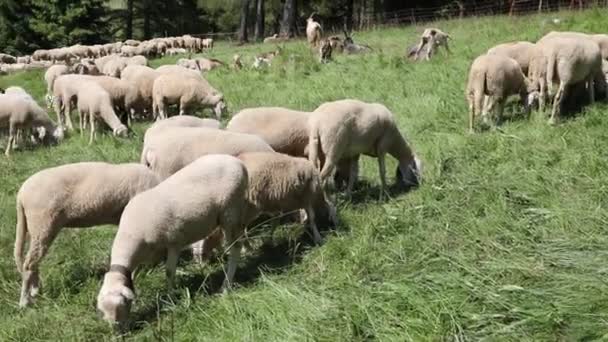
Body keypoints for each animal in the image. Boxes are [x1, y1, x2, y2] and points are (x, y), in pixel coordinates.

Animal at [96, 154, 248, 328]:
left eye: (122, 306)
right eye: (102, 311)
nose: (119, 331)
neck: (131, 236)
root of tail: (239, 163)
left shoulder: (174, 242)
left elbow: (169, 272)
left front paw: (170, 298)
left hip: (230, 212)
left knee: (235, 248)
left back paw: (226, 286)